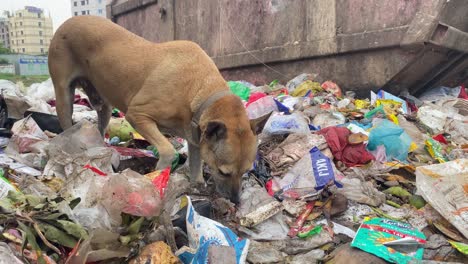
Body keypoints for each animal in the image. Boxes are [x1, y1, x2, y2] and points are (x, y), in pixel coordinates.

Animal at [49, 16, 268, 204]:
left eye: (246, 171)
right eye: (224, 172)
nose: (236, 201)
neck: (200, 89)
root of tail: (69, 21)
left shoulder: (196, 137)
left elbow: (196, 163)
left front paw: (196, 185)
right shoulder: (138, 115)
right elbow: (168, 150)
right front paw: (157, 175)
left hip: (102, 102)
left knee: (101, 118)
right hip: (63, 96)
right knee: (66, 120)